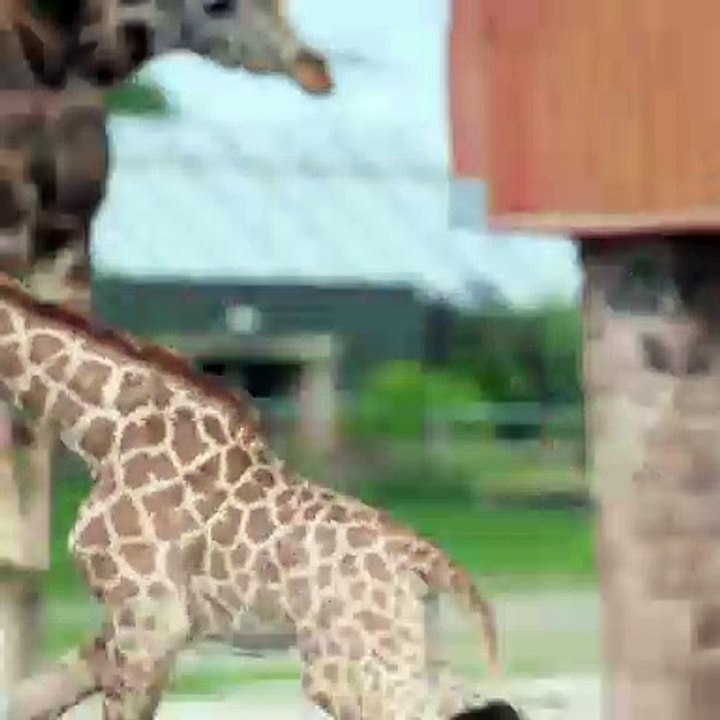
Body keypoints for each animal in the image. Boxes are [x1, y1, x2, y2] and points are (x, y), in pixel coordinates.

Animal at [0, 273, 501, 720]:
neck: (105, 430)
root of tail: (429, 561)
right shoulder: (127, 620)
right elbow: (33, 696)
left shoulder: (151, 615)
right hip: (412, 651)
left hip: (348, 666)